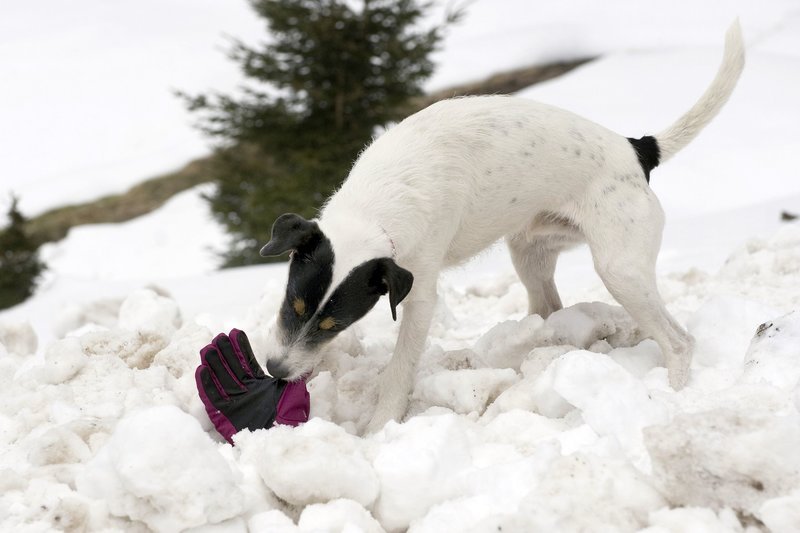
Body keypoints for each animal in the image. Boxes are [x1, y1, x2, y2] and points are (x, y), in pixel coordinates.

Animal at [260, 21, 748, 432]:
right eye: (292, 304)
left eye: (334, 324)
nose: (275, 370)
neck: (377, 206)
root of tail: (636, 149)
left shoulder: (420, 293)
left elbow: (399, 370)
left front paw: (380, 429)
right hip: (530, 252)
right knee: (549, 305)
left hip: (620, 268)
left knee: (680, 342)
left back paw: (673, 395)